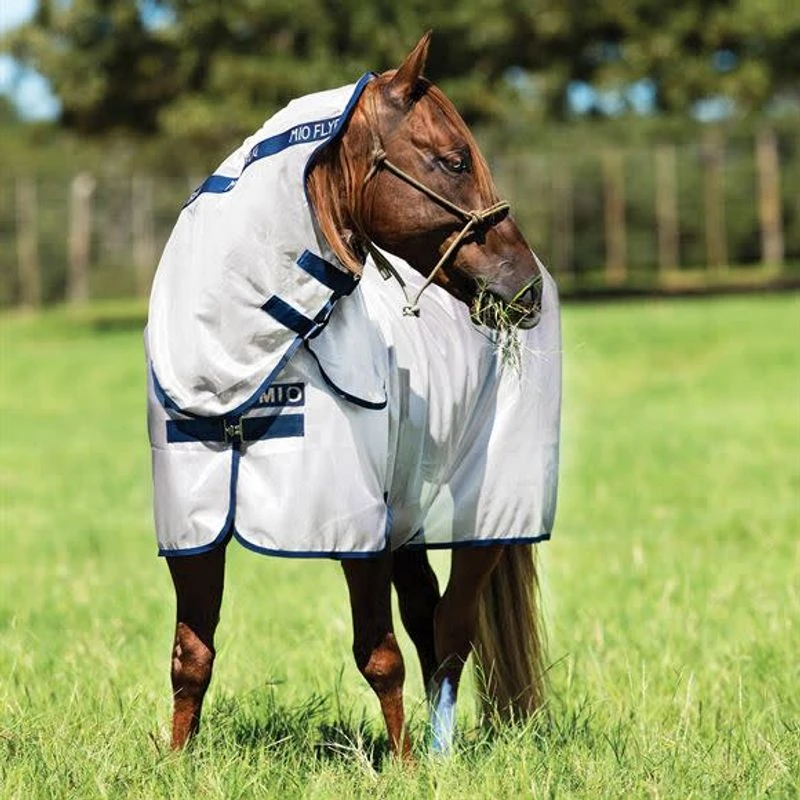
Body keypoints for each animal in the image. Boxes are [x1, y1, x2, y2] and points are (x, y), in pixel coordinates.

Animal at [146, 32, 560, 759]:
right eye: (453, 159)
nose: (524, 287)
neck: (237, 371)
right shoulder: (192, 528)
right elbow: (190, 655)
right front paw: (176, 764)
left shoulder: (353, 528)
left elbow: (379, 654)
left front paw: (406, 769)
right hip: (409, 518)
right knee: (430, 615)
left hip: (490, 516)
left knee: (453, 628)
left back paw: (439, 755)